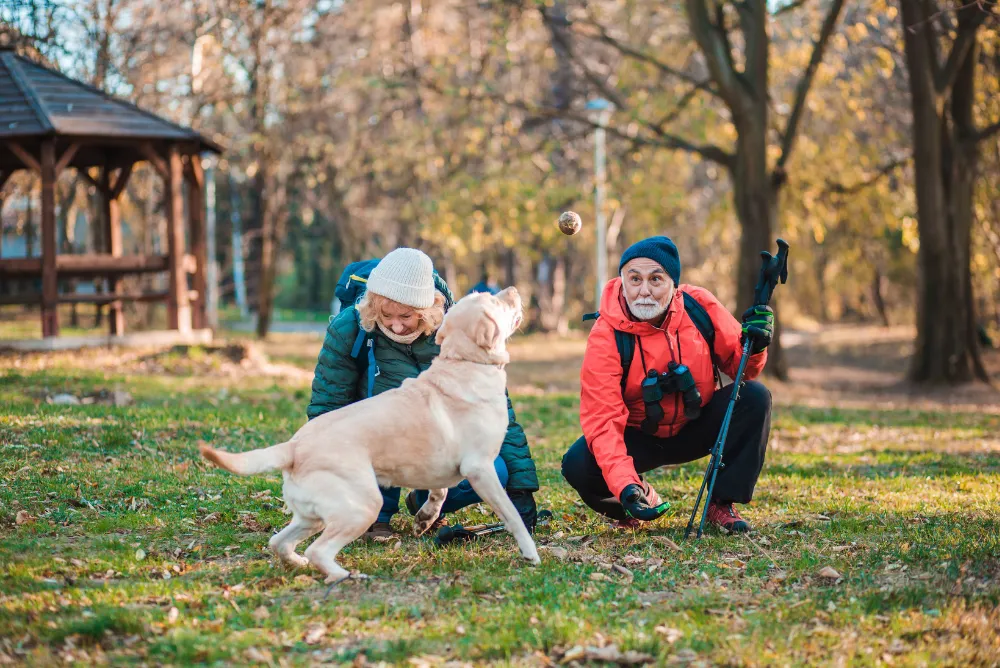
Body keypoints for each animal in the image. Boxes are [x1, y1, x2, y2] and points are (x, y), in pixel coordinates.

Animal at [198, 290, 536, 580]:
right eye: (495, 301)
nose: (514, 290)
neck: (465, 362)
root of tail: (293, 447)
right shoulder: (480, 469)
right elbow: (511, 514)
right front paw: (530, 552)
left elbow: (439, 493)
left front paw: (424, 519)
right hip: (361, 506)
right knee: (319, 549)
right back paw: (344, 575)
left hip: (312, 516)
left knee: (279, 542)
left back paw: (300, 563)